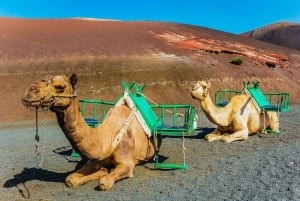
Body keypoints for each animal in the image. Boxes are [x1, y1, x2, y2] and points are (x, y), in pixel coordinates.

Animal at [22, 74, 161, 191]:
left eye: (60, 87)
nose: (30, 91)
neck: (108, 138)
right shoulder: (93, 160)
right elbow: (70, 179)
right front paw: (101, 171)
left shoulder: (127, 163)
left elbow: (104, 183)